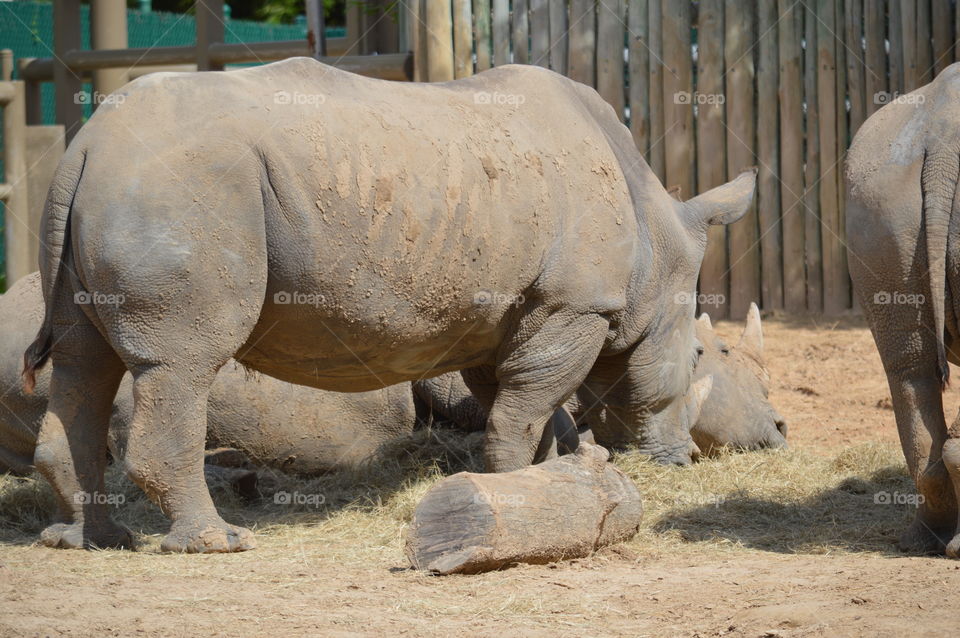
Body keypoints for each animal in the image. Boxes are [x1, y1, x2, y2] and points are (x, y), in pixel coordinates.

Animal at [22, 59, 755, 552]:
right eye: (696, 354)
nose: (682, 459)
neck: (658, 236)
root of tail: (86, 144)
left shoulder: (512, 314)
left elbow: (524, 406)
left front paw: (546, 479)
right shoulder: (573, 306)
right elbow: (522, 411)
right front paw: (518, 486)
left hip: (125, 187)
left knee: (82, 362)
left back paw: (92, 539)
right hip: (183, 186)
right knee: (179, 366)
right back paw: (215, 542)